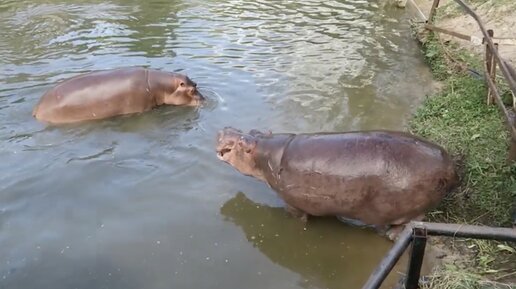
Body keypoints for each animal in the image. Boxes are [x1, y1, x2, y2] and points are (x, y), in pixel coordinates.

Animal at [216, 126, 458, 238]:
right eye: (253, 130)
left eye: (241, 143)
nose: (225, 128)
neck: (265, 154)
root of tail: (450, 165)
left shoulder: (293, 203)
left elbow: (297, 217)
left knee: (415, 220)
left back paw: (391, 235)